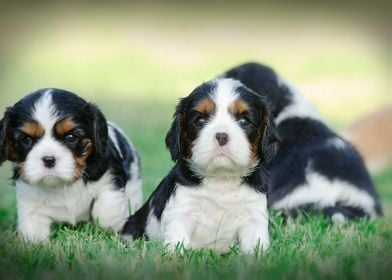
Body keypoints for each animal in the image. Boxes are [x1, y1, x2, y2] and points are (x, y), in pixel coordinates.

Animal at [0, 88, 143, 242]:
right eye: (26, 140)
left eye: (71, 137)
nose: (49, 159)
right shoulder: (28, 197)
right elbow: (32, 227)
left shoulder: (110, 177)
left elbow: (105, 211)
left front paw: (117, 226)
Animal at [122, 77, 278, 253]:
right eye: (200, 120)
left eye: (244, 121)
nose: (222, 136)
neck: (222, 179)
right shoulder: (180, 210)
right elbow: (177, 242)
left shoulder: (253, 216)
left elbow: (255, 247)